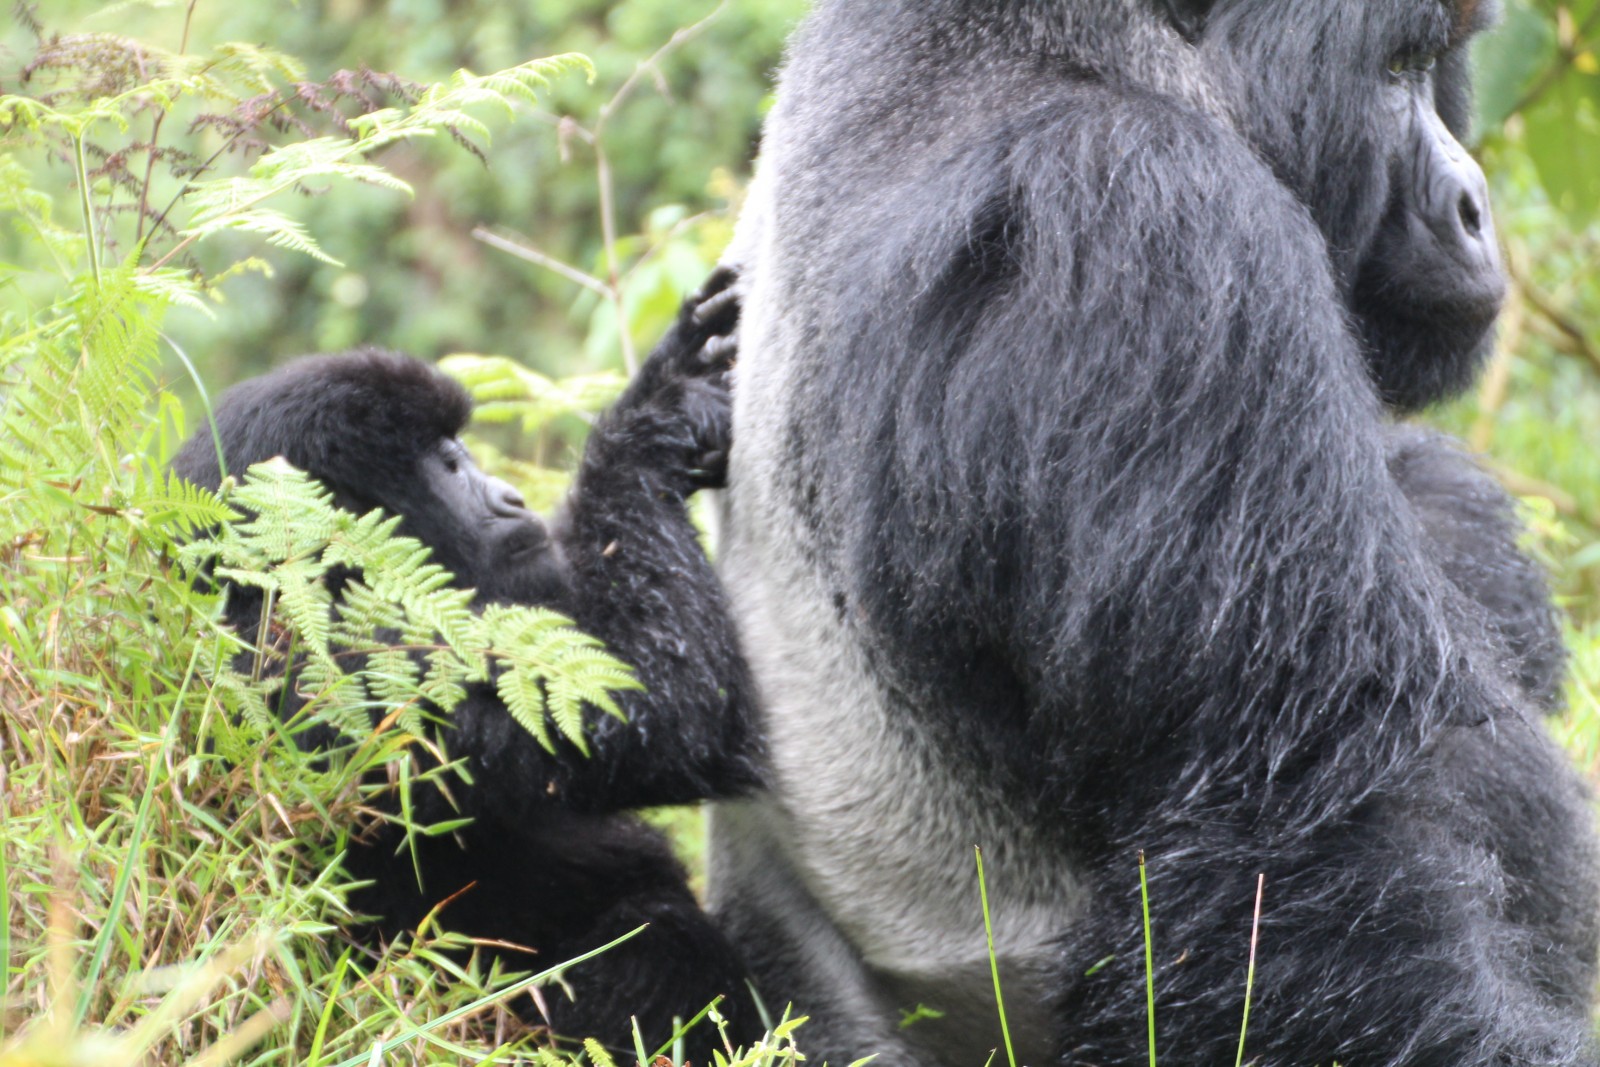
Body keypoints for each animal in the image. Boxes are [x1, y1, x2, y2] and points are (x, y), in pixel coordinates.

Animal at [175, 271, 768, 1055]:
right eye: (445, 463)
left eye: (460, 449)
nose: (510, 496)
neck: (290, 588)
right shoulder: (345, 682)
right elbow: (671, 709)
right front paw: (651, 424)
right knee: (652, 942)